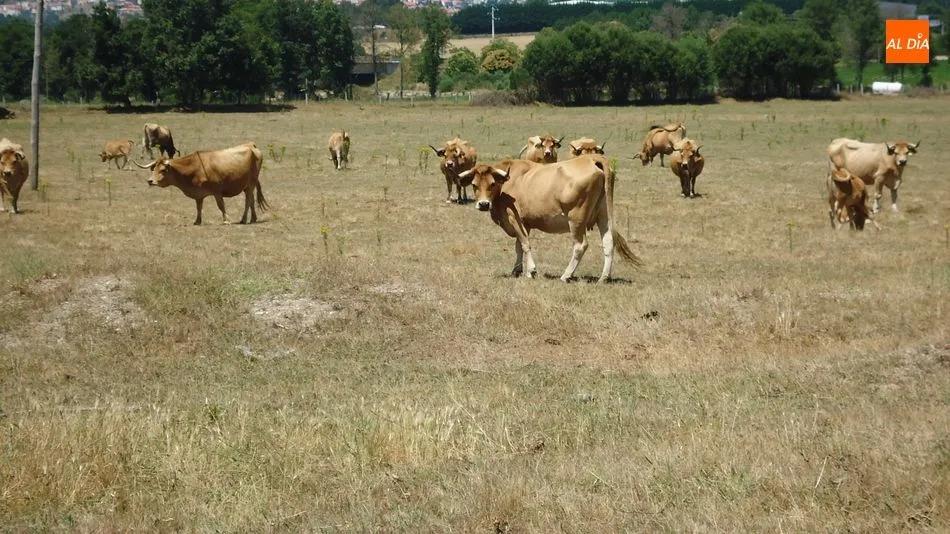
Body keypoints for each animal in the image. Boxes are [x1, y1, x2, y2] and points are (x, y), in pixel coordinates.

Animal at [134, 142, 267, 226]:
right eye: (153, 169)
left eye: (162, 170)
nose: (150, 181)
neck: (195, 167)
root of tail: (251, 145)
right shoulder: (198, 194)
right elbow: (198, 207)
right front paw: (197, 221)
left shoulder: (217, 191)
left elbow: (221, 206)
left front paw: (226, 220)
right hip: (247, 186)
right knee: (251, 200)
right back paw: (253, 218)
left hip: (251, 183)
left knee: (248, 200)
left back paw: (244, 219)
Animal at [459, 154, 642, 283]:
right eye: (474, 185)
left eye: (492, 184)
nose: (483, 204)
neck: (507, 183)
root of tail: (591, 158)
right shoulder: (525, 222)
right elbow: (519, 246)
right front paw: (517, 270)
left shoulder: (513, 217)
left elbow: (525, 244)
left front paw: (531, 271)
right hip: (603, 215)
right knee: (608, 242)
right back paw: (603, 277)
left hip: (576, 219)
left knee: (580, 245)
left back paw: (566, 275)